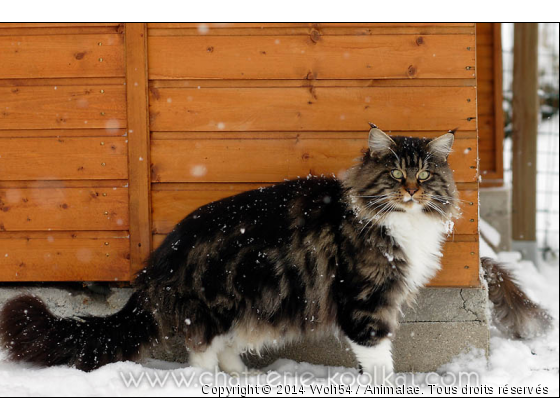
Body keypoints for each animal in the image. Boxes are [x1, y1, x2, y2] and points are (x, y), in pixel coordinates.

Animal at [0, 124, 552, 378]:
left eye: (424, 174)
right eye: (397, 173)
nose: (413, 190)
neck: (397, 221)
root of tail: (158, 261)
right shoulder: (366, 302)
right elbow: (378, 358)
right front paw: (386, 389)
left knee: (224, 350)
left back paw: (245, 377)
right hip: (215, 307)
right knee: (199, 355)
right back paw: (211, 386)